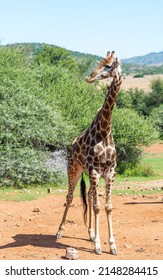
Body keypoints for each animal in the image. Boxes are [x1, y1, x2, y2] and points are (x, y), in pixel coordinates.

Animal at [56, 50, 121, 256]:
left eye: (108, 65)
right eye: (100, 61)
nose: (90, 77)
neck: (105, 131)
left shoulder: (110, 172)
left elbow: (107, 206)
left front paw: (112, 245)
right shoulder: (94, 171)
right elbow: (98, 206)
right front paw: (99, 246)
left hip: (91, 175)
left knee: (91, 197)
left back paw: (91, 233)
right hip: (74, 170)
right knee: (69, 198)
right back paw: (59, 231)